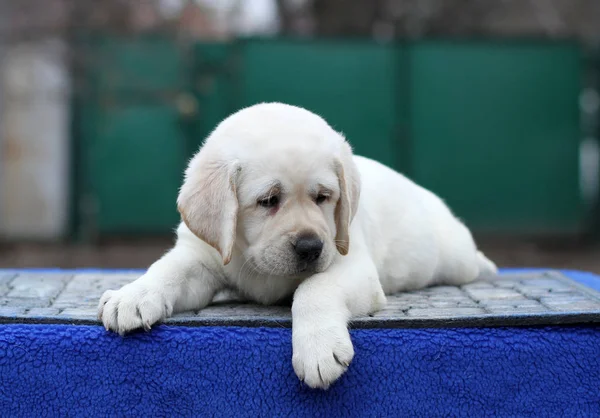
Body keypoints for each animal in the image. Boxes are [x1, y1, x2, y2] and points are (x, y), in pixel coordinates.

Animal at [99, 102, 496, 388]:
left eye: (323, 197)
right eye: (268, 200)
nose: (310, 247)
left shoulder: (350, 262)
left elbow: (314, 288)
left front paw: (318, 350)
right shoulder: (200, 256)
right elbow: (167, 268)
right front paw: (131, 296)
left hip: (453, 257)